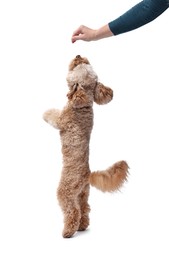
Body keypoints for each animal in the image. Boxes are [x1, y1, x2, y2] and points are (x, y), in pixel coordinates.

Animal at [43, 54, 129, 238]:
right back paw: (82, 226)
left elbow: (53, 115)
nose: (78, 56)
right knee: (85, 209)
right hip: (83, 193)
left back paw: (68, 231)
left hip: (66, 192)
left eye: (79, 66)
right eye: (84, 62)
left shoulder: (61, 121)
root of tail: (87, 175)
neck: (83, 103)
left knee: (73, 211)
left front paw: (45, 113)